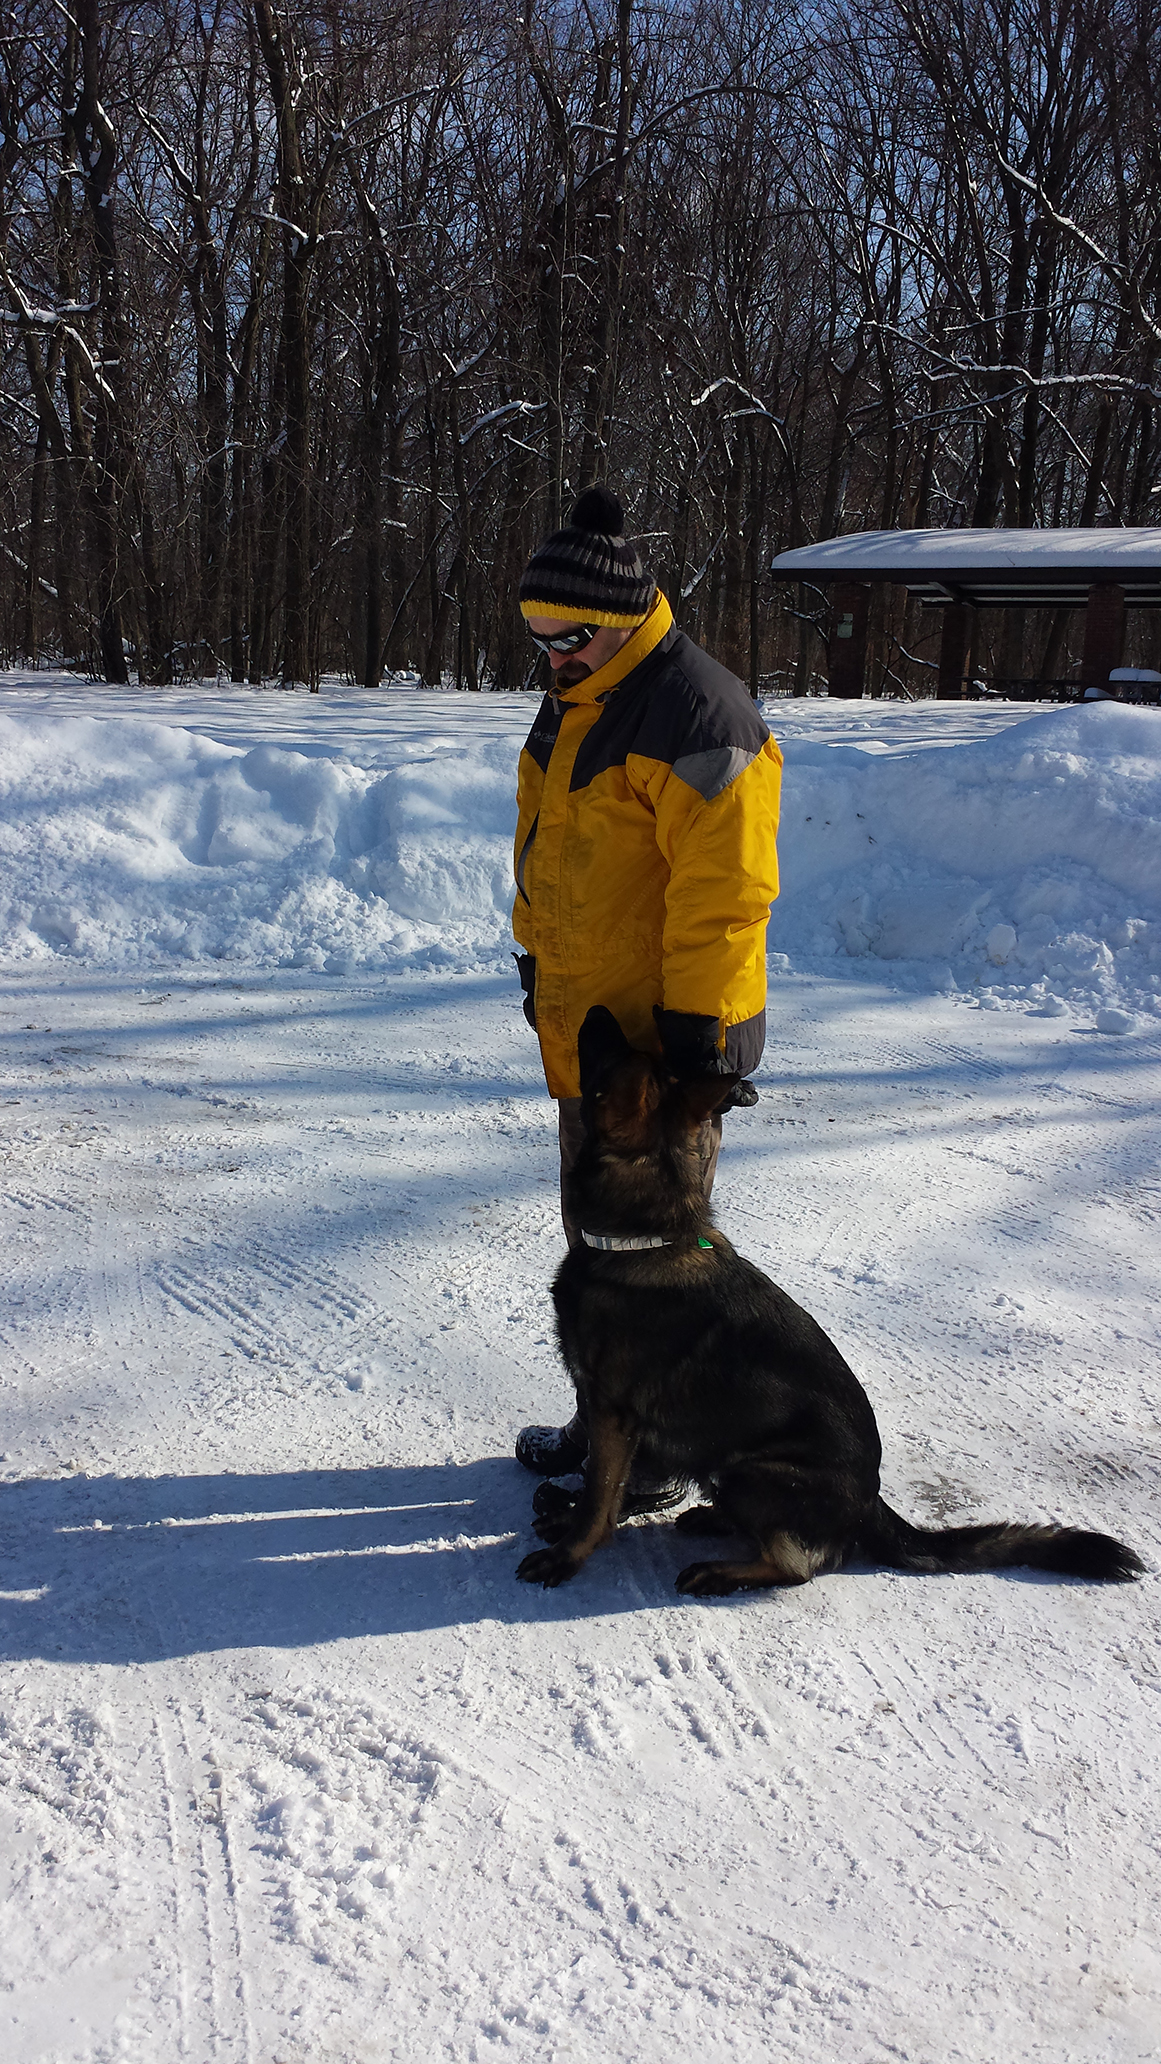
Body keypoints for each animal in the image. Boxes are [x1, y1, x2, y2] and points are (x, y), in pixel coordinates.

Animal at [516, 1006, 1144, 1596]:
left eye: (615, 1058)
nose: (596, 1009)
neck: (642, 1238)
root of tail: (871, 1499)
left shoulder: (613, 1412)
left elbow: (599, 1493)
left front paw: (568, 1553)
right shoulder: (619, 1419)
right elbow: (606, 1488)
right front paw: (572, 1522)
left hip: (754, 1470)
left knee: (802, 1565)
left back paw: (723, 1570)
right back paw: (713, 1520)